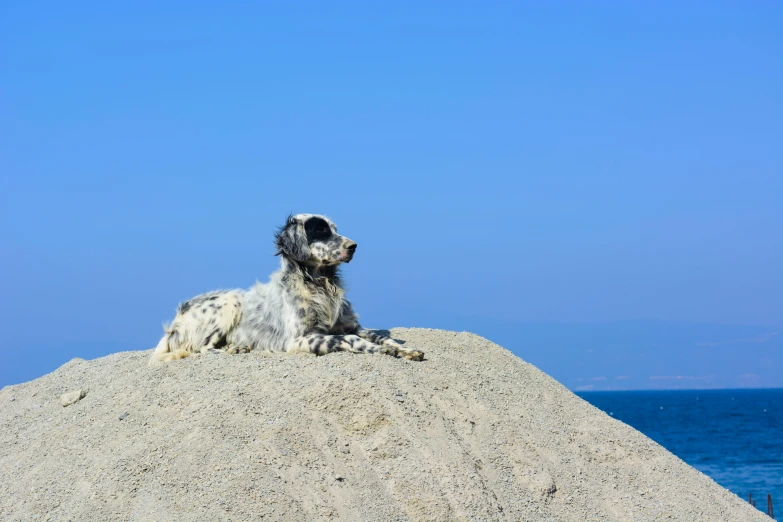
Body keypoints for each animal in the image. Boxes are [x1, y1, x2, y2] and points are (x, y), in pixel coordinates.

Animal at [150, 211, 426, 362]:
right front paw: (379, 350)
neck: (320, 286)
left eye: (335, 229)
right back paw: (231, 350)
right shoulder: (300, 339)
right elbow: (351, 340)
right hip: (230, 301)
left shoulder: (353, 326)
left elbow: (381, 337)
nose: (354, 246)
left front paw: (405, 349)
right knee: (201, 349)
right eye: (321, 230)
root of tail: (174, 323)